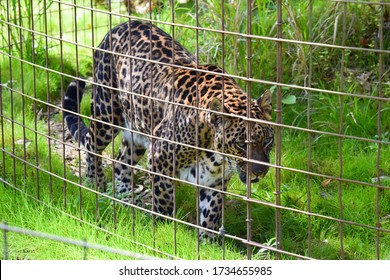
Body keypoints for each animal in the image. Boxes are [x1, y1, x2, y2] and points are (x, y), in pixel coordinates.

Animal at [62, 19, 272, 238]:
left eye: (267, 140)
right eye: (241, 143)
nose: (260, 172)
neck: (214, 152)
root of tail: (119, 25)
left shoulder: (215, 180)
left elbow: (211, 215)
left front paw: (208, 241)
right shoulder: (159, 160)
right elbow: (164, 201)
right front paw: (163, 229)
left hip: (137, 131)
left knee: (120, 163)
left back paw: (126, 198)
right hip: (106, 112)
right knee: (91, 144)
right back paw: (95, 185)